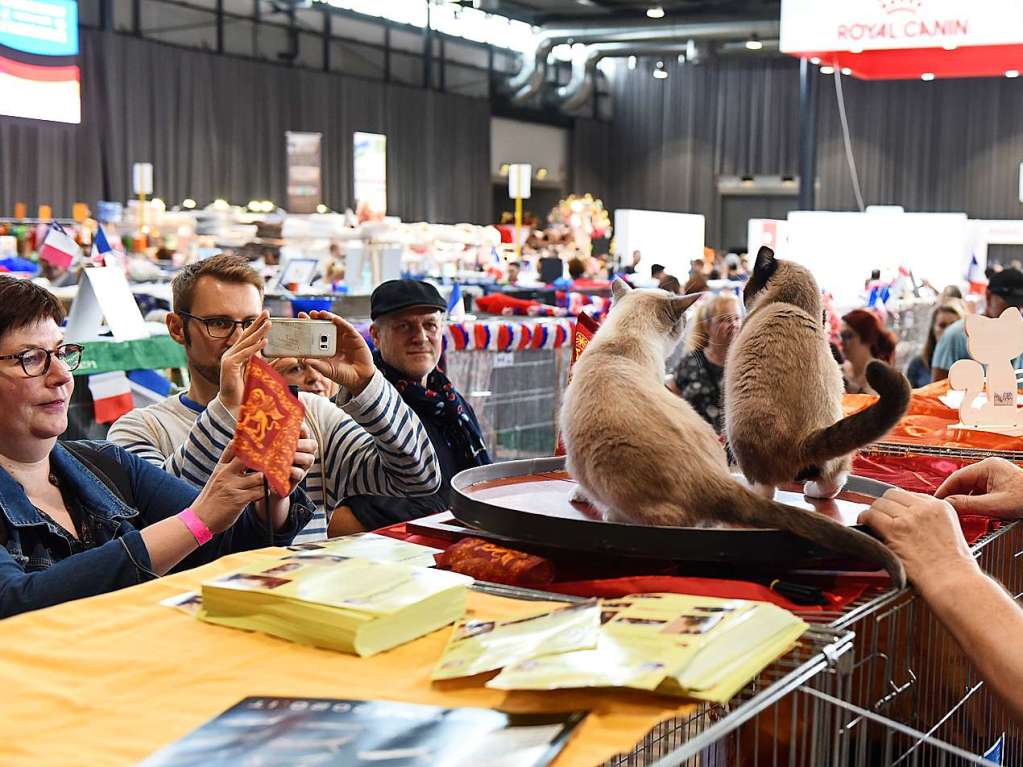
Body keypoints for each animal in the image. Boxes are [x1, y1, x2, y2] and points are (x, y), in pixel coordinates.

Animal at [564, 280, 908, 584]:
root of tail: (710, 479)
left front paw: (579, 495)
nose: (688, 326)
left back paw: (610, 513)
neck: (621, 343)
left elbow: (577, 482)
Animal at [728, 244, 912, 499]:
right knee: (834, 481)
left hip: (736, 427)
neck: (793, 305)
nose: (742, 298)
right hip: (840, 447)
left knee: (764, 489)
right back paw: (812, 490)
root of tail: (804, 441)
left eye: (745, 289)